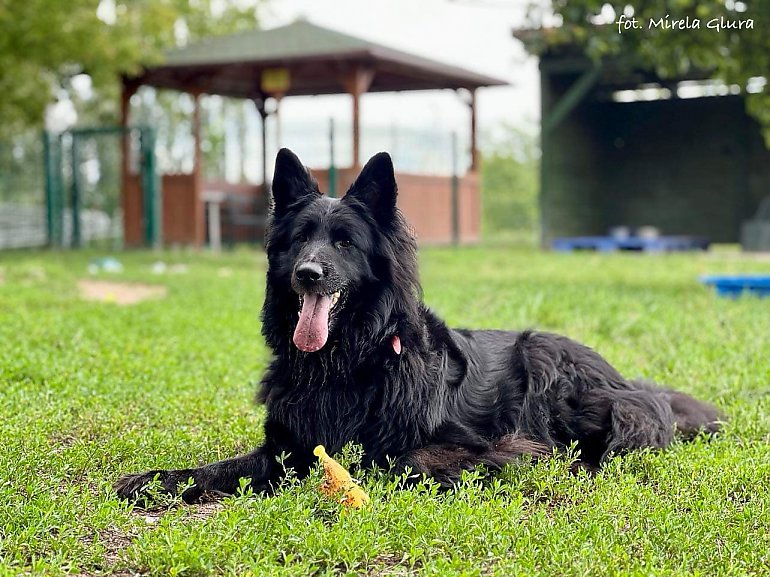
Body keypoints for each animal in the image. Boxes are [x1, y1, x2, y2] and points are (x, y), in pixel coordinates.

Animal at [114, 150, 720, 504]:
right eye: (299, 240)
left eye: (344, 243)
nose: (307, 274)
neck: (346, 364)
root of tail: (629, 383)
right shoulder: (286, 450)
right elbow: (215, 469)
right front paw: (153, 480)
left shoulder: (426, 445)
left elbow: (405, 461)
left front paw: (511, 458)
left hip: (546, 358)